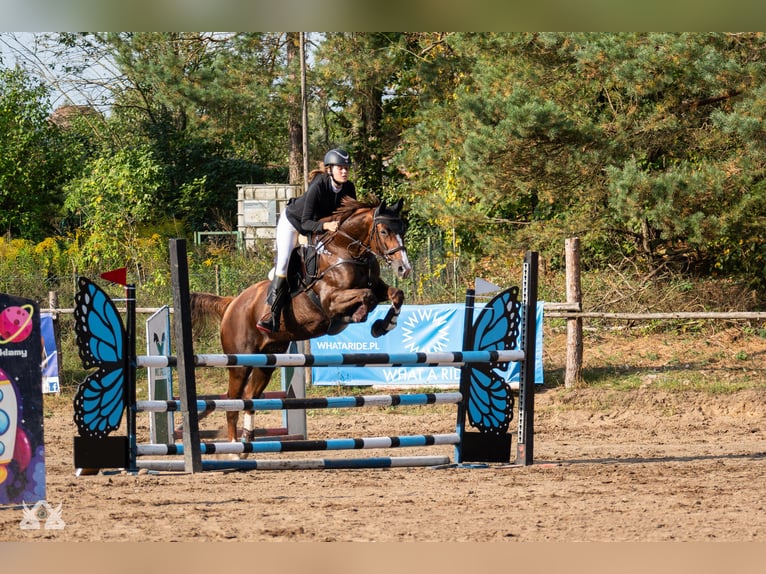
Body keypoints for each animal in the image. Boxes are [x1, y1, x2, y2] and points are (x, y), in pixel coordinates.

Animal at [188, 198, 412, 446]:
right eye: (384, 231)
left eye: (403, 229)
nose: (404, 269)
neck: (345, 251)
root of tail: (231, 304)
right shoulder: (330, 300)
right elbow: (367, 296)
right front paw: (358, 317)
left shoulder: (378, 286)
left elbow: (395, 294)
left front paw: (383, 326)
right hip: (240, 362)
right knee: (232, 402)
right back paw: (235, 447)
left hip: (267, 361)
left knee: (249, 397)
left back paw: (247, 440)